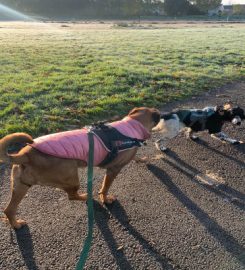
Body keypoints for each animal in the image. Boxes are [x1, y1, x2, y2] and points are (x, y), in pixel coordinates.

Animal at [0, 106, 160, 229]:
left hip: (20, 186)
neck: (133, 124)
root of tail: (26, 154)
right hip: (71, 176)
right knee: (72, 196)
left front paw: (144, 160)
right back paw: (86, 197)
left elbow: (137, 158)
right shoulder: (113, 170)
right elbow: (105, 187)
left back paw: (16, 225)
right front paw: (105, 199)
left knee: (8, 210)